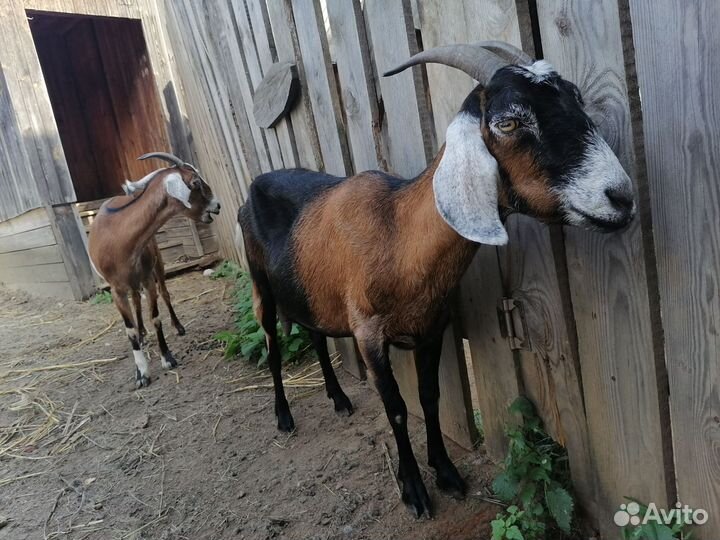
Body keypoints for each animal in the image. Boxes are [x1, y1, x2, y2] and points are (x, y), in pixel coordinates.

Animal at [88, 153, 221, 388]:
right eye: (195, 182)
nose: (217, 205)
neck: (120, 239)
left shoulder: (148, 279)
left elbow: (156, 317)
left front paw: (167, 358)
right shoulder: (116, 289)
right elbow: (129, 329)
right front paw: (141, 373)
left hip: (157, 263)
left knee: (164, 294)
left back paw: (177, 327)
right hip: (132, 282)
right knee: (136, 301)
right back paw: (142, 333)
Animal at [237, 42, 635, 517]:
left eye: (575, 100)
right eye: (508, 121)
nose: (621, 197)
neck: (397, 233)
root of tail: (253, 185)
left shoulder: (432, 328)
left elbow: (430, 397)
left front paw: (446, 472)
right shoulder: (369, 334)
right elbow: (396, 409)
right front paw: (414, 489)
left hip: (309, 290)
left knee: (315, 335)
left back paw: (339, 399)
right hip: (260, 286)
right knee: (272, 346)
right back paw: (284, 416)